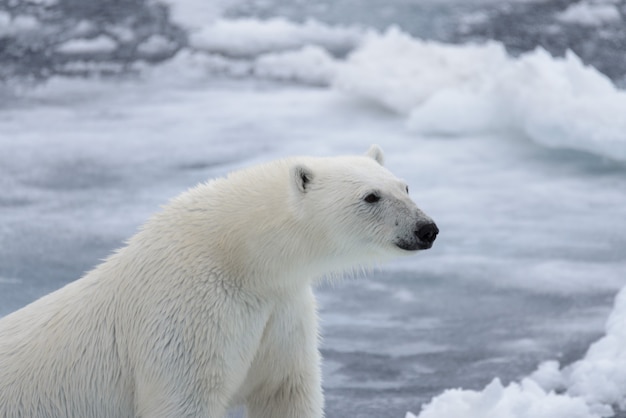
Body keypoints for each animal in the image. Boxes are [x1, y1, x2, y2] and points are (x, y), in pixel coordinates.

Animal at [0, 145, 436, 418]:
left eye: (405, 185)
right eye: (371, 196)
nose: (426, 228)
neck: (238, 256)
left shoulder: (281, 310)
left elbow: (285, 390)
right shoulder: (185, 314)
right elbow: (185, 398)